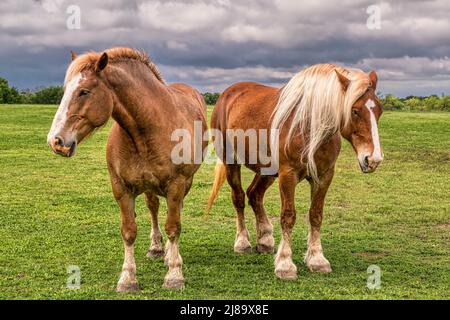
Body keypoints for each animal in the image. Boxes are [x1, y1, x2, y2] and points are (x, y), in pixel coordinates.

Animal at [46, 47, 208, 290]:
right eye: (66, 91)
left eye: (84, 91)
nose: (55, 141)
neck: (148, 129)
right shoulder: (121, 188)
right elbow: (129, 231)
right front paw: (128, 278)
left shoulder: (176, 185)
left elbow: (173, 227)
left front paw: (174, 274)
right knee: (153, 208)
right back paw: (156, 248)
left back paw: (170, 255)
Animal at [207, 64, 384, 280]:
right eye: (355, 110)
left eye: (379, 110)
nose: (373, 159)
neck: (310, 126)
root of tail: (228, 93)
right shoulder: (287, 175)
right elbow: (288, 216)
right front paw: (285, 264)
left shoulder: (324, 176)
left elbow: (316, 215)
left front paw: (317, 259)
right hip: (231, 162)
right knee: (239, 198)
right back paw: (242, 242)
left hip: (267, 170)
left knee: (254, 195)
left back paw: (264, 239)